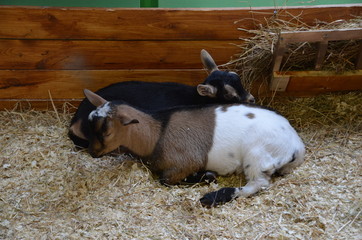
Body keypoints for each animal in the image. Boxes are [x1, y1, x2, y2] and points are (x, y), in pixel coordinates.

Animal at [83, 89, 304, 207]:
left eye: (106, 132)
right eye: (90, 122)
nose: (92, 152)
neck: (157, 133)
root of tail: (297, 145)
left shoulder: (186, 161)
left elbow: (165, 180)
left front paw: (207, 176)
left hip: (257, 155)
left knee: (258, 183)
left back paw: (213, 197)